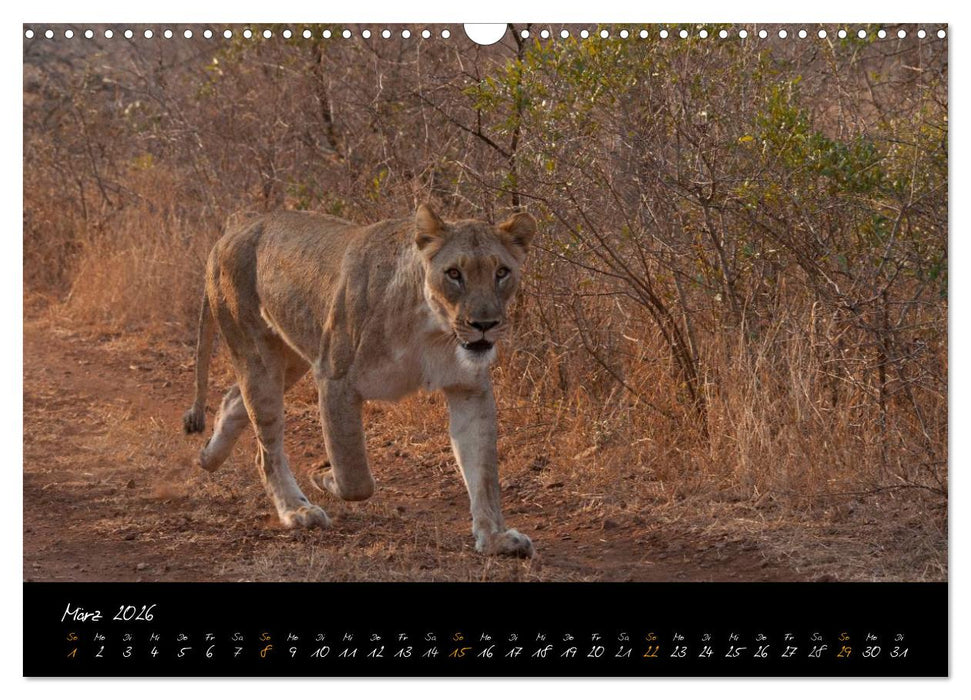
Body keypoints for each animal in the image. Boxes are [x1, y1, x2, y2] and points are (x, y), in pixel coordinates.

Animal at [182, 204, 536, 557]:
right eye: (453, 274)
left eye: (501, 272)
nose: (484, 325)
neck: (433, 330)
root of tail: (229, 234)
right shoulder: (335, 377)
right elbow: (355, 477)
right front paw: (323, 474)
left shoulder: (469, 389)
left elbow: (483, 472)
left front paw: (495, 537)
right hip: (259, 354)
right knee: (267, 449)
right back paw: (296, 510)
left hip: (292, 355)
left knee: (234, 400)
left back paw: (209, 456)